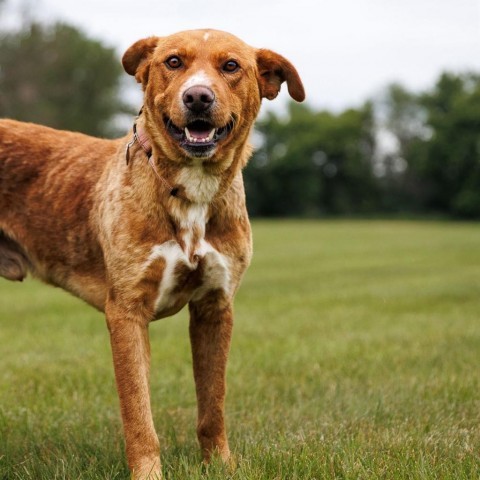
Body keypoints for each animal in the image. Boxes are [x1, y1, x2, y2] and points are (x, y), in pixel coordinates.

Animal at [0, 28, 304, 478]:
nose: (198, 97)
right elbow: (138, 413)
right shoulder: (127, 311)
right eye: (173, 62)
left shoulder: (215, 306)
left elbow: (213, 403)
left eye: (231, 66)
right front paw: (148, 473)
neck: (191, 191)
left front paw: (221, 465)